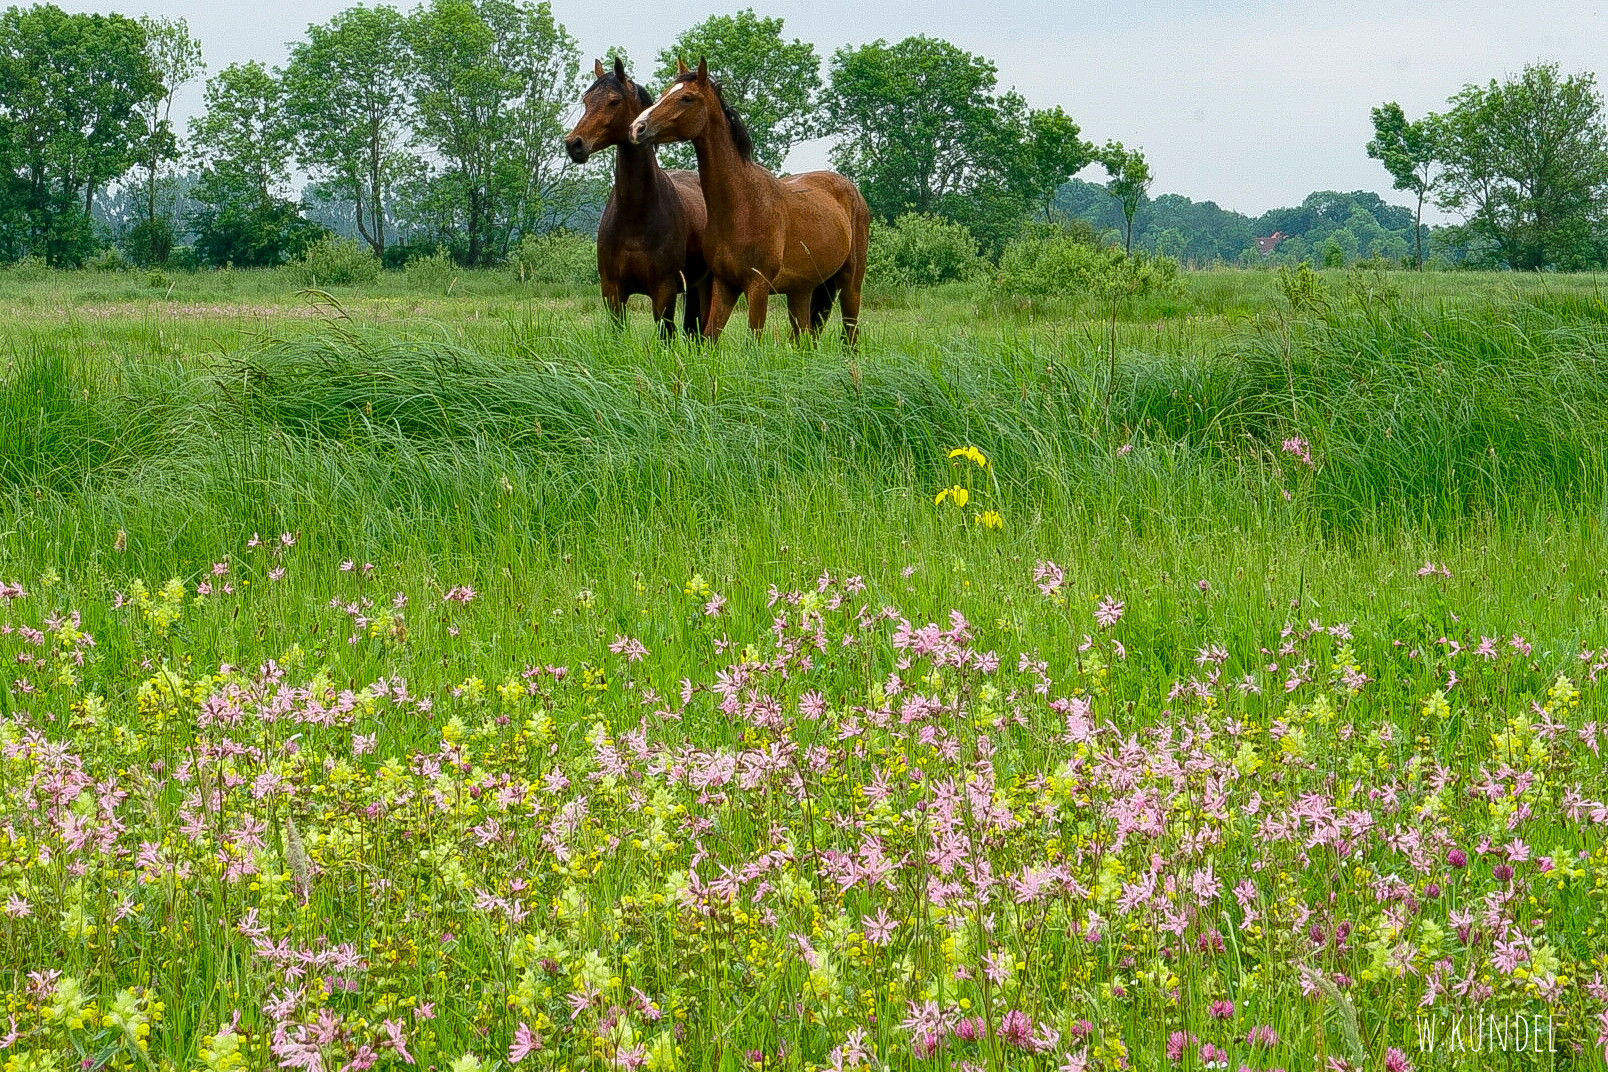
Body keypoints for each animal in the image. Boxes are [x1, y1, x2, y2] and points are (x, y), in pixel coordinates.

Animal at [572, 57, 710, 335]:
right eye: (586, 101)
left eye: (614, 101)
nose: (574, 144)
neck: (634, 215)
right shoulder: (612, 291)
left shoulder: (664, 291)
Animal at [630, 58, 868, 343]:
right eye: (665, 92)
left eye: (686, 98)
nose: (637, 128)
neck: (741, 204)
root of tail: (851, 190)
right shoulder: (725, 285)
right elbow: (711, 337)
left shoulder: (758, 286)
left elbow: (754, 339)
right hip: (802, 290)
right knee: (803, 337)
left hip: (851, 283)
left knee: (851, 333)